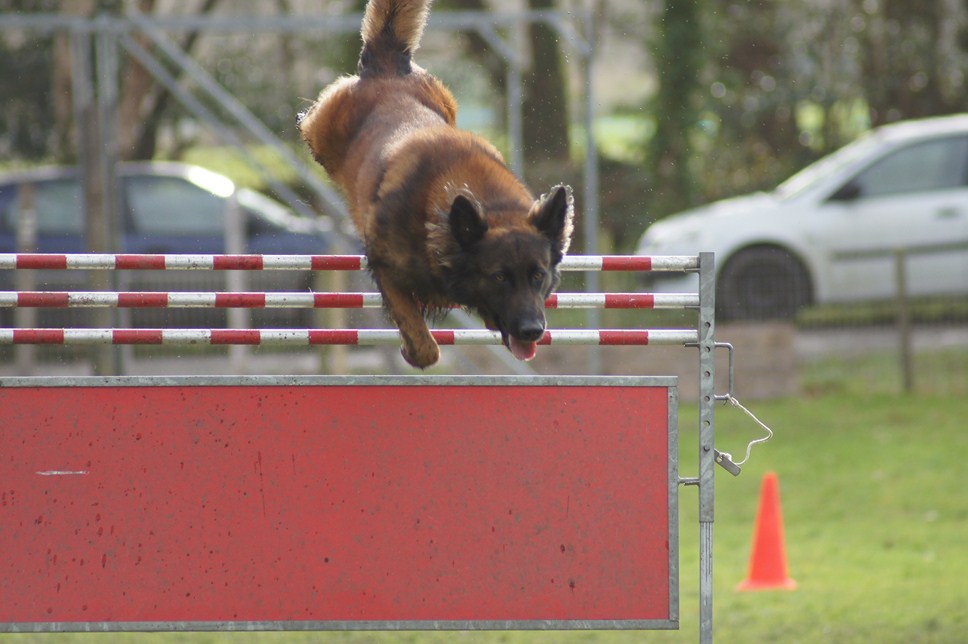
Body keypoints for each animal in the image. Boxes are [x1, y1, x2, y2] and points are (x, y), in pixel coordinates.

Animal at [298, 0, 572, 368]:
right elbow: (422, 342)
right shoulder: (385, 267)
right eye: (499, 277)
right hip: (320, 134)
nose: (533, 331)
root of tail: (388, 68)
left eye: (538, 275)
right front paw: (412, 350)